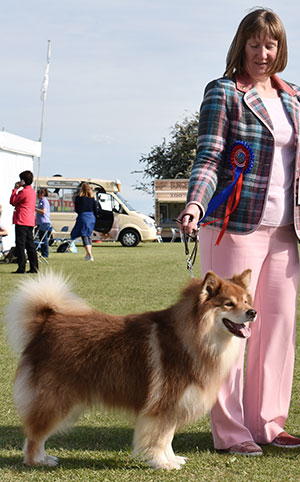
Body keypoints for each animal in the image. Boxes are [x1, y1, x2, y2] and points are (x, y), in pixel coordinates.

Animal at [3, 270, 255, 468]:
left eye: (246, 301)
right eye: (229, 303)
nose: (253, 312)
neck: (194, 337)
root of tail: (45, 323)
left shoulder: (172, 406)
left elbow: (167, 438)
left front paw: (171, 459)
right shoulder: (163, 405)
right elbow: (158, 438)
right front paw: (161, 463)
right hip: (56, 400)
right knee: (35, 434)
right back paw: (38, 461)